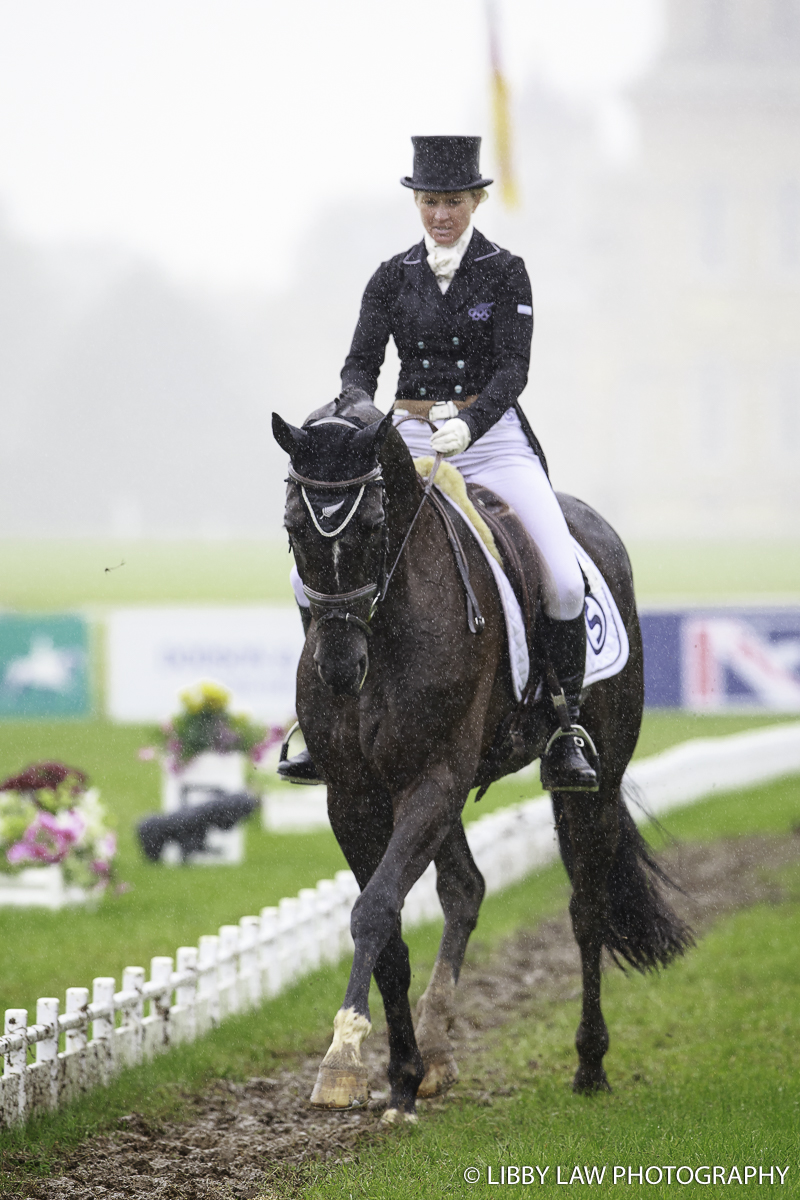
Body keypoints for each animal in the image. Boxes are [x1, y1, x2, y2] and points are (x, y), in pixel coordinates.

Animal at [272, 386, 690, 1123]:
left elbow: (374, 911)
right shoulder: (355, 796)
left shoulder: (433, 780)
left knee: (586, 907)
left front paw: (345, 1061)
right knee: (466, 887)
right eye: (295, 528)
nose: (339, 669)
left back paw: (589, 1065)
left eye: (374, 525)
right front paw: (399, 1073)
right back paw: (439, 1053)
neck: (388, 628)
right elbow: (388, 927)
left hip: (595, 781)